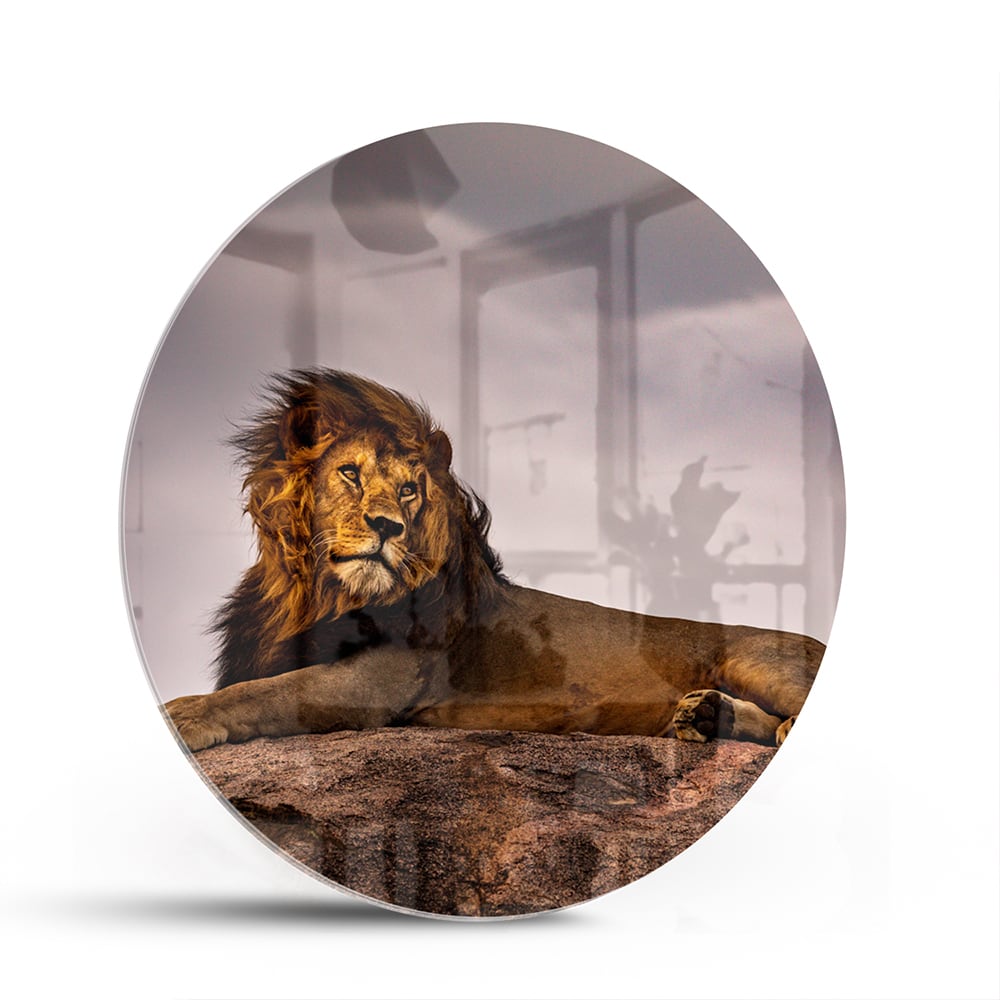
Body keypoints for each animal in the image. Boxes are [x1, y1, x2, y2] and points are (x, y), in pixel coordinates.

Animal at [164, 368, 824, 753]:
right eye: (350, 473)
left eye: (411, 490)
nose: (387, 526)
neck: (317, 593)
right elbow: (257, 685)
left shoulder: (377, 680)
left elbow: (263, 694)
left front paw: (183, 715)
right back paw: (706, 717)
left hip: (755, 659)